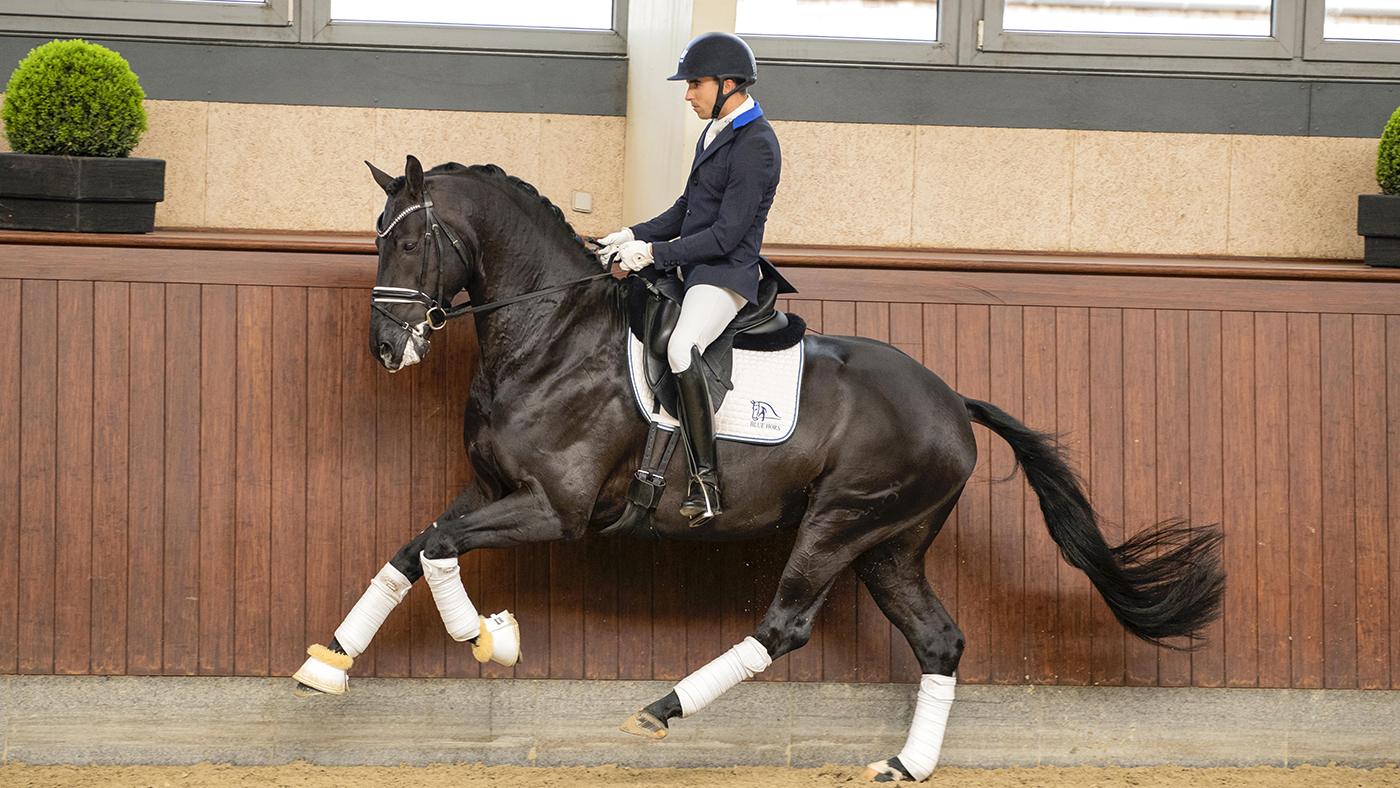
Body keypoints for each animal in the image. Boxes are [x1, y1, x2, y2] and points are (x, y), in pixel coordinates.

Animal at [292, 155, 1225, 782]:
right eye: (376, 239)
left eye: (413, 240)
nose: (386, 348)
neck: (548, 334)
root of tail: (954, 403)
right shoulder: (493, 488)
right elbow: (415, 546)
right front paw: (330, 664)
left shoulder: (555, 506)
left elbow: (438, 546)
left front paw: (485, 638)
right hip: (890, 544)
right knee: (939, 639)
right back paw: (905, 765)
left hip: (840, 522)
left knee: (784, 626)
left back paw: (659, 711)